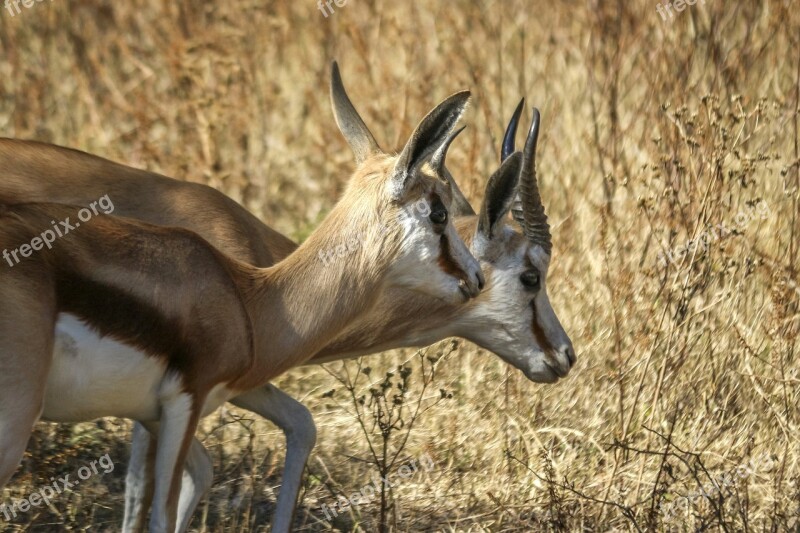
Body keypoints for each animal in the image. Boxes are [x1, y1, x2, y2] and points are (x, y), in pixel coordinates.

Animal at [0, 69, 576, 528]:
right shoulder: (180, 401)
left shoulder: (218, 393)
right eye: (532, 275)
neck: (254, 287)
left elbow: (295, 427)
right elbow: (150, 492)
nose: (565, 355)